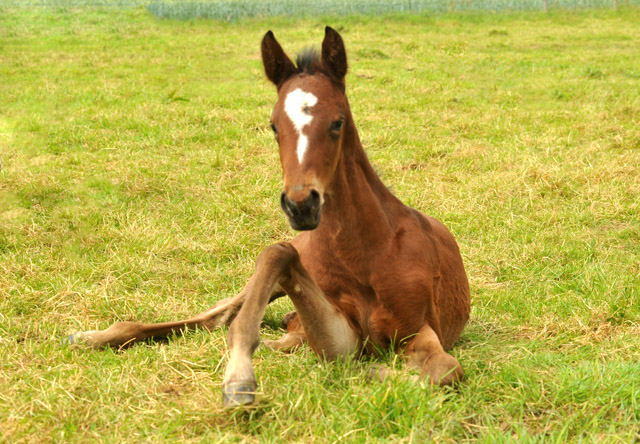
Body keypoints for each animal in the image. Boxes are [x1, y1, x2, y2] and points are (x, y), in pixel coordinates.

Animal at [69, 27, 470, 408]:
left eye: (337, 122)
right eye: (274, 126)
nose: (301, 205)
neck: (367, 249)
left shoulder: (414, 328)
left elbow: (445, 371)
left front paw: (374, 370)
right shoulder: (344, 332)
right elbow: (276, 253)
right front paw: (238, 379)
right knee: (219, 314)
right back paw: (93, 336)